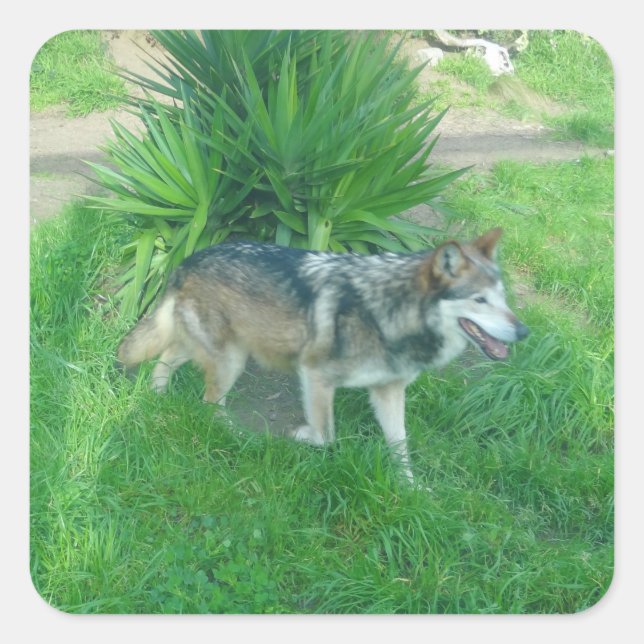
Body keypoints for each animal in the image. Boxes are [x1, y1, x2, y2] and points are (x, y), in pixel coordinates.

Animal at [117, 227, 529, 483]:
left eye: (504, 299)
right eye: (480, 300)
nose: (524, 331)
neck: (390, 311)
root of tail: (187, 260)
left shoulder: (388, 391)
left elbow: (401, 447)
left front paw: (414, 490)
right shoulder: (314, 375)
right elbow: (325, 436)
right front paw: (298, 436)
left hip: (219, 350)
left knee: (165, 359)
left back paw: (158, 399)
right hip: (231, 361)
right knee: (208, 402)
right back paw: (233, 434)